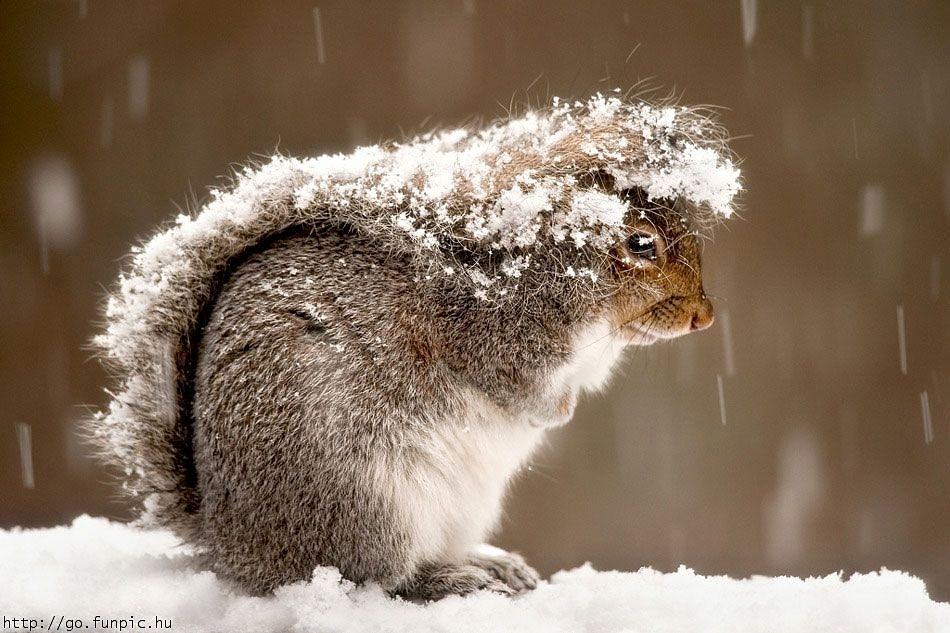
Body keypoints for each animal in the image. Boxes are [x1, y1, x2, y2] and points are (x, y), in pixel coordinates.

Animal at [87, 92, 744, 596]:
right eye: (640, 244)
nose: (705, 317)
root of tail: (235, 547)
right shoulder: (493, 339)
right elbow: (517, 388)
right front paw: (554, 412)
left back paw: (486, 562)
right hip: (366, 501)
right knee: (380, 577)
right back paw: (450, 580)